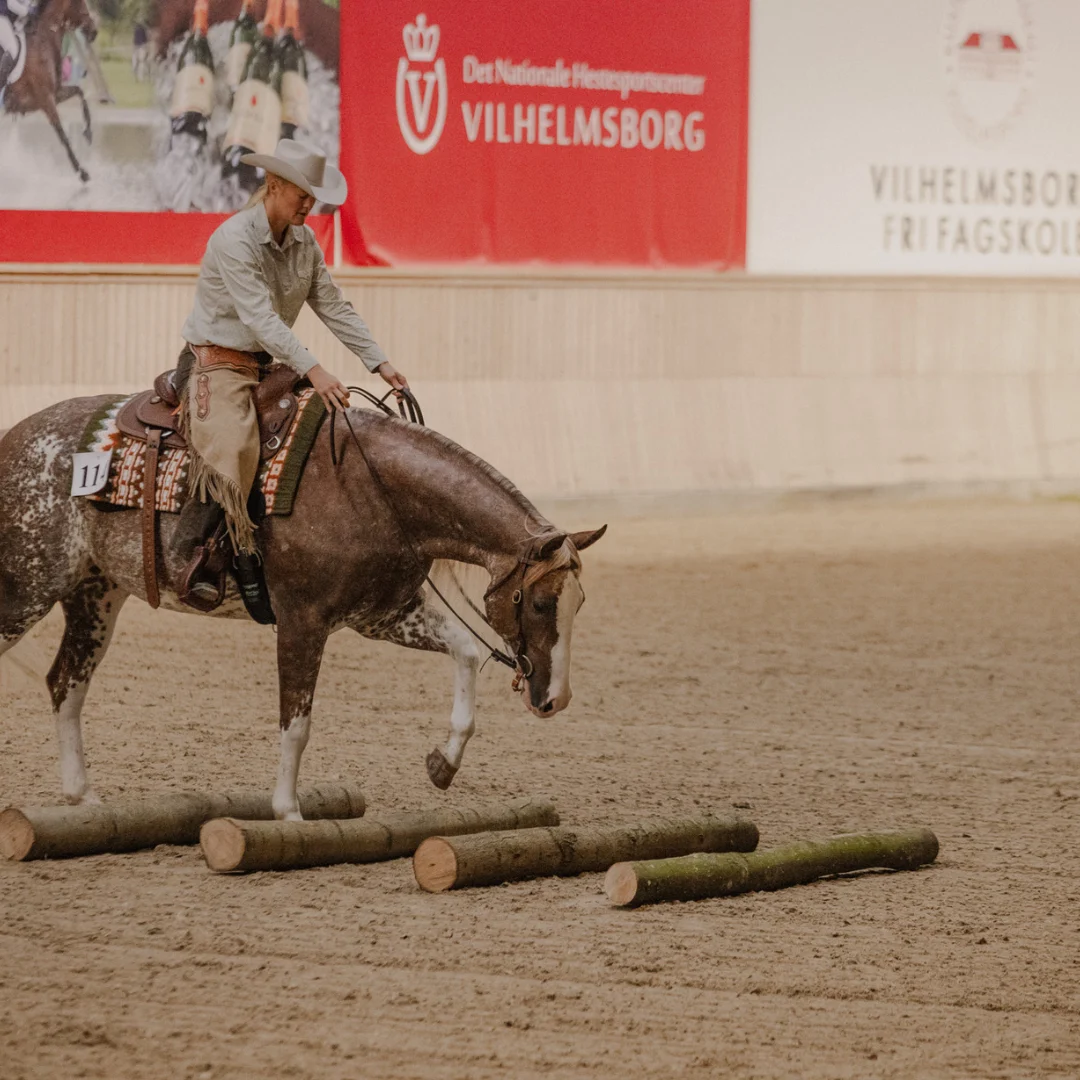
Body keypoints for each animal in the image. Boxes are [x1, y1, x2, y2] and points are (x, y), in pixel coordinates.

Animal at [0, 393, 609, 820]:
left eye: (579, 604)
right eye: (540, 602)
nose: (554, 699)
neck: (370, 489)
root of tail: (15, 438)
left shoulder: (383, 616)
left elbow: (465, 653)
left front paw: (443, 764)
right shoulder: (302, 622)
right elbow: (297, 724)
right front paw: (289, 814)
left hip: (94, 594)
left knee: (65, 683)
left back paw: (82, 797)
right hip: (25, 590)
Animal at [4, 0, 96, 182]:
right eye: (80, 3)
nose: (93, 31)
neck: (43, 38)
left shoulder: (52, 95)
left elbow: (80, 93)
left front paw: (88, 133)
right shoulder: (45, 100)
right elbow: (62, 134)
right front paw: (81, 172)